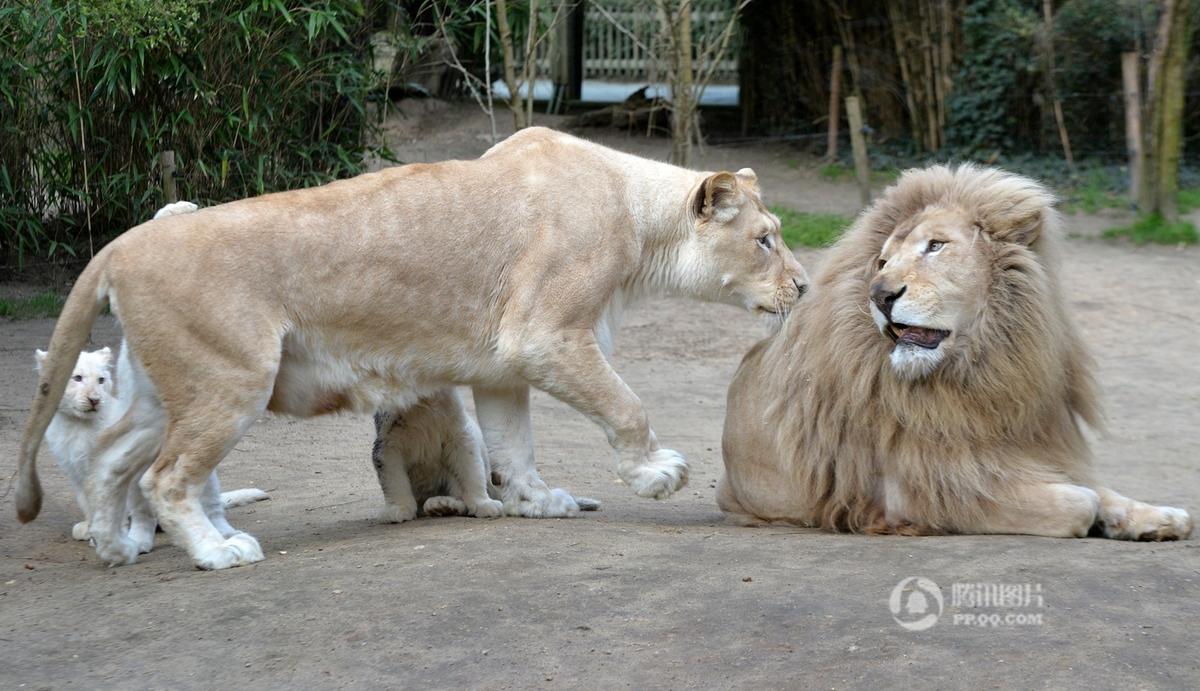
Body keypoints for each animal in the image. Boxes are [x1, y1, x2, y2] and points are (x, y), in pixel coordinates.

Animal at [16, 127, 806, 568]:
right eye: (766, 238)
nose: (803, 284)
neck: (637, 219)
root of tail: (121, 244)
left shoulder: (506, 362)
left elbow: (513, 443)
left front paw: (537, 501)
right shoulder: (549, 336)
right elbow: (627, 405)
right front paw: (657, 475)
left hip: (164, 393)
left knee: (110, 461)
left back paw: (116, 546)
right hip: (229, 381)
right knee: (166, 478)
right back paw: (217, 552)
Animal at [715, 163, 1195, 539]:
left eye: (936, 246)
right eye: (882, 262)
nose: (879, 294)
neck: (977, 378)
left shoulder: (1032, 447)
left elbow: (1100, 489)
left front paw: (1161, 517)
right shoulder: (924, 490)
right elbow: (1081, 501)